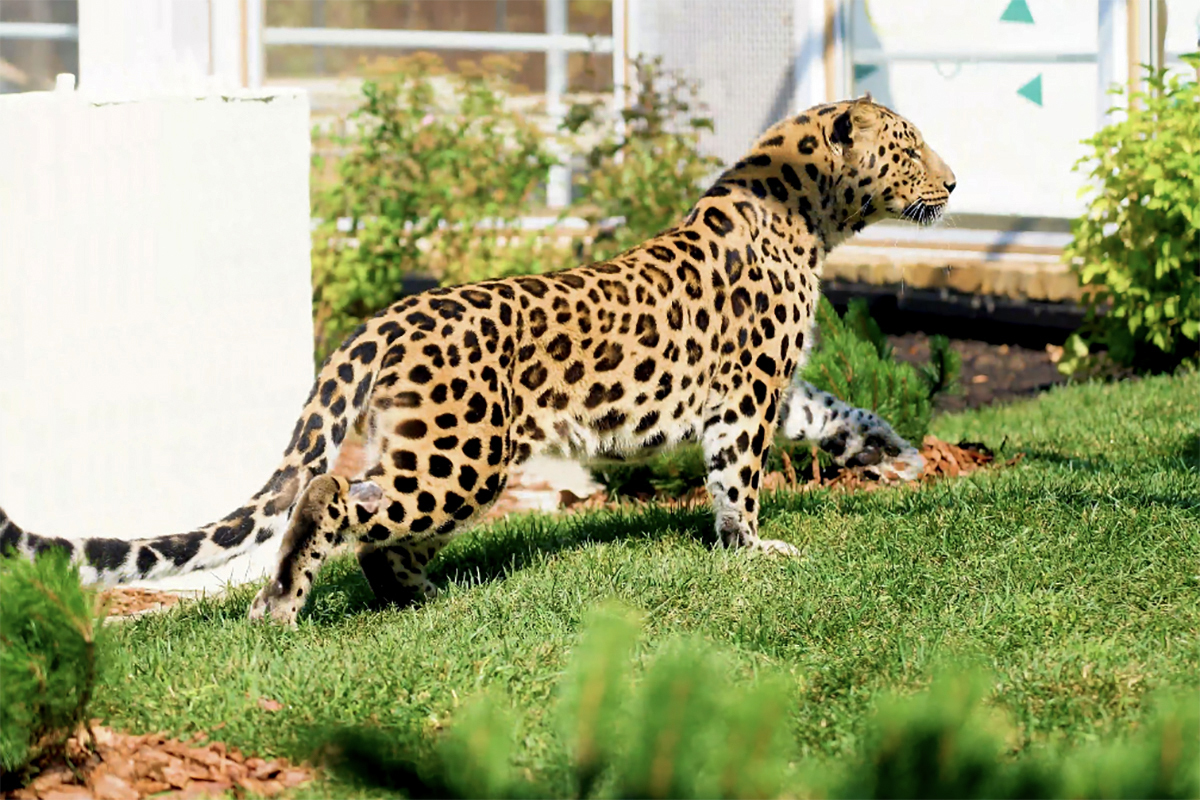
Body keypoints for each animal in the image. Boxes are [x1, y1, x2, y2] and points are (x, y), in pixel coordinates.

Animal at [0, 95, 955, 623]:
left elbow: (832, 411)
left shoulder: (767, 388)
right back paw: (281, 608)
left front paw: (891, 449)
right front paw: (752, 549)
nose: (953, 182)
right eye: (908, 147)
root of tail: (388, 315)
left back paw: (419, 598)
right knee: (336, 496)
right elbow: (738, 480)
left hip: (431, 448)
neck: (810, 214)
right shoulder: (747, 395)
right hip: (464, 457)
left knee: (374, 525)